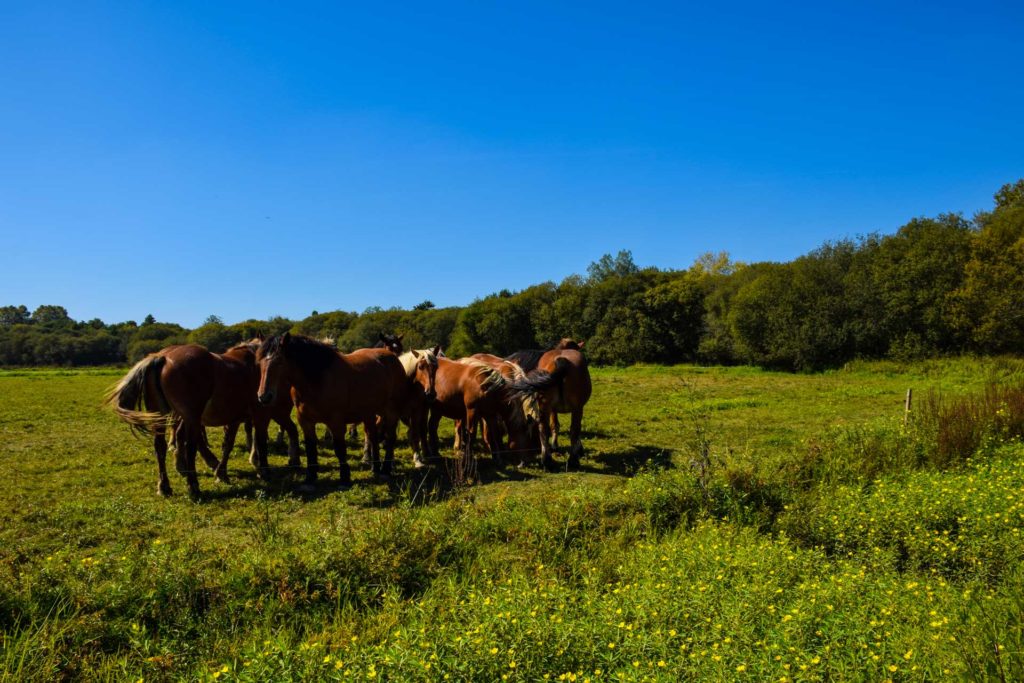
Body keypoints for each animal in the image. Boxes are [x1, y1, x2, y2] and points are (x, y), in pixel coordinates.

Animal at [104, 342, 272, 497]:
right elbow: (239, 443)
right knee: (190, 445)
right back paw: (193, 484)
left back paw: (165, 485)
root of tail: (163, 357)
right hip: (191, 417)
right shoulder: (246, 416)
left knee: (160, 447)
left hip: (162, 416)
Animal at [256, 331, 407, 489]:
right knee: (373, 436)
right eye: (259, 362)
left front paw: (344, 478)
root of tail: (393, 359)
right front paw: (310, 478)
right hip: (369, 413)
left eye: (279, 362)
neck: (317, 380)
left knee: (390, 438)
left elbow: (339, 449)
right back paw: (375, 467)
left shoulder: (336, 421)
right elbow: (311, 448)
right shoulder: (305, 421)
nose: (264, 397)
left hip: (391, 411)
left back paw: (385, 469)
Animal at [505, 339, 593, 471]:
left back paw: (547, 461)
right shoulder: (567, 409)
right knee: (574, 430)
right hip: (575, 408)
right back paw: (572, 461)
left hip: (544, 406)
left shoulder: (553, 409)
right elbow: (559, 426)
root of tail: (561, 360)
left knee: (543, 428)